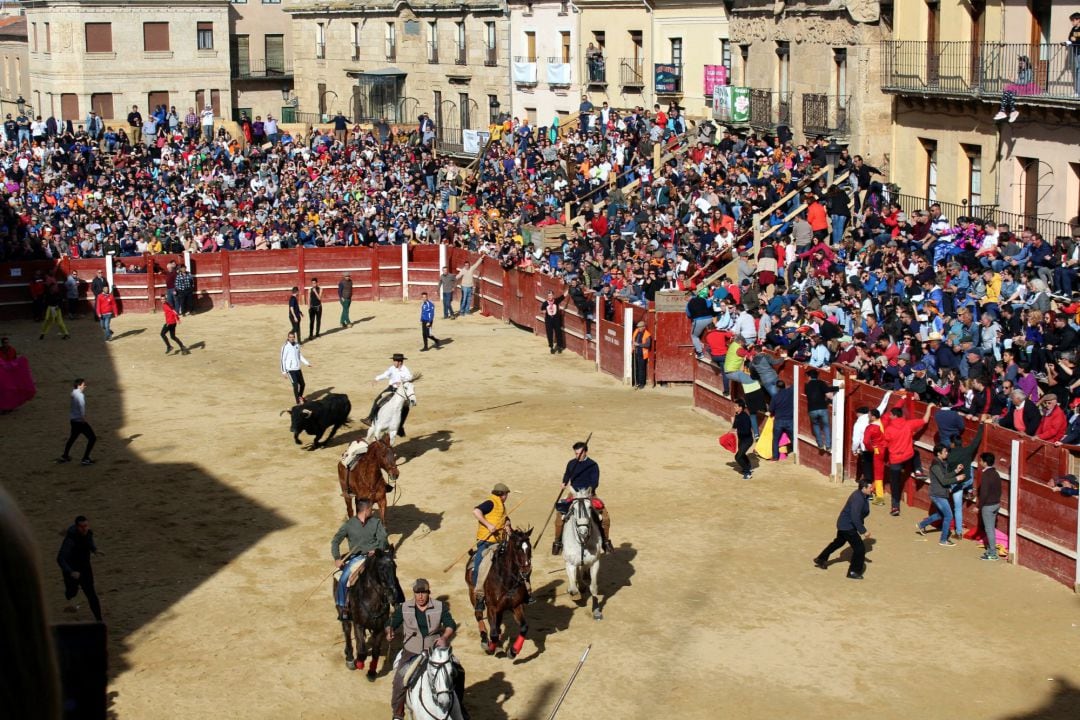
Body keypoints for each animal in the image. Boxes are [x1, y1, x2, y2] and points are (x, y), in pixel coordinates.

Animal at [332, 552, 397, 682]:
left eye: (395, 567)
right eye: (381, 568)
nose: (392, 594)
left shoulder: (379, 628)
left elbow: (376, 651)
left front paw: (371, 672)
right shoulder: (358, 624)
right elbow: (361, 651)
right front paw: (359, 663)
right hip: (342, 611)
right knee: (347, 631)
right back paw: (350, 657)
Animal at [462, 526, 533, 656]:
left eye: (529, 547)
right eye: (517, 547)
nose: (526, 572)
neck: (506, 580)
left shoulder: (516, 605)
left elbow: (524, 627)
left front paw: (513, 651)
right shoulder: (492, 607)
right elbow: (494, 633)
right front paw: (491, 648)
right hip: (473, 593)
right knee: (479, 616)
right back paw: (485, 640)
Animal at [561, 483, 604, 621]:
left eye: (589, 507)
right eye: (573, 510)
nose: (583, 532)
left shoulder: (595, 562)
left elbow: (594, 588)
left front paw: (596, 611)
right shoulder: (569, 563)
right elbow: (574, 589)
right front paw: (574, 593)